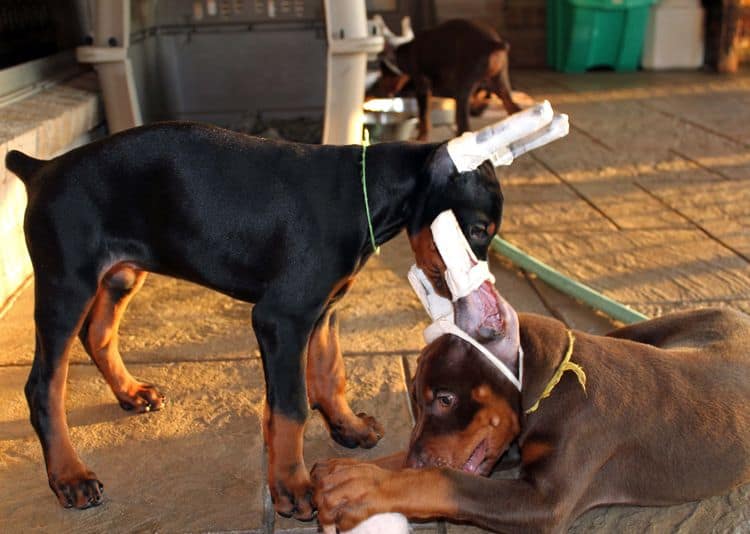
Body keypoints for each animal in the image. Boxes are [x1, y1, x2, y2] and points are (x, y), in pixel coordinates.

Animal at [5, 122, 506, 520]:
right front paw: (290, 485)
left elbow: (330, 373)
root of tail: (40, 169)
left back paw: (130, 393)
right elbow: (290, 407)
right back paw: (69, 476)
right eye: (478, 230)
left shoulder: (323, 310)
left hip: (120, 274)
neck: (365, 194)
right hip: (66, 285)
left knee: (99, 334)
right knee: (43, 385)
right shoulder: (281, 318)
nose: (486, 305)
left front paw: (347, 427)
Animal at [314, 298, 750, 532]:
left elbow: (447, 480)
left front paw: (362, 484)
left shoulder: (545, 502)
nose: (416, 460)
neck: (555, 386)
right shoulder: (511, 447)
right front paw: (342, 471)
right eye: (419, 403)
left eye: (445, 399)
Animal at [370, 18, 524, 141]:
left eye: (382, 73)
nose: (377, 90)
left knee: (464, 126)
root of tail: (493, 43)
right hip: (500, 84)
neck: (407, 52)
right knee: (515, 110)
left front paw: (421, 138)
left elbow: (423, 115)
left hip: (464, 88)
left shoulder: (422, 85)